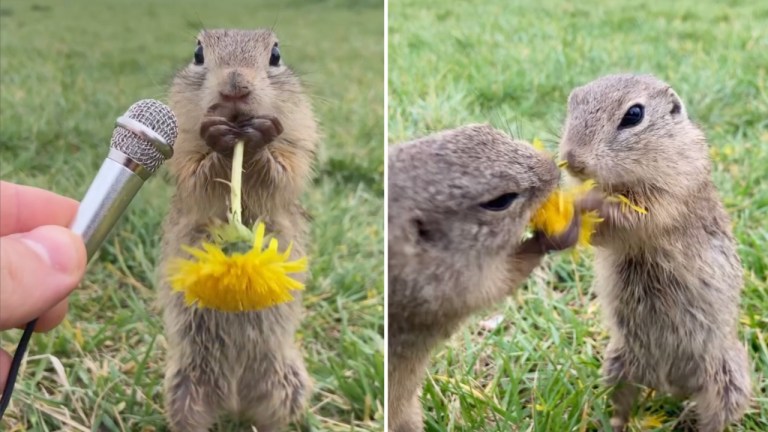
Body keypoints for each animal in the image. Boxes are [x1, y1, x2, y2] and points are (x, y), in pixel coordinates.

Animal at [158, 28, 320, 430]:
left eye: (275, 55)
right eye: (198, 54)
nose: (235, 87)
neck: (238, 145)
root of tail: (233, 399)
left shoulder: (298, 140)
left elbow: (284, 170)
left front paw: (262, 135)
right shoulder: (183, 146)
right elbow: (196, 172)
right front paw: (217, 135)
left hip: (286, 385)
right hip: (184, 388)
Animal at [388, 123, 580, 430]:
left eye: (485, 128)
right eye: (499, 201)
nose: (553, 167)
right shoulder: (448, 285)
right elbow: (502, 280)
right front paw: (558, 234)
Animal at [560, 72, 752, 430]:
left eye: (634, 115)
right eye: (572, 104)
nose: (573, 161)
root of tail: (672, 384)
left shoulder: (669, 197)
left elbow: (635, 218)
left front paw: (584, 201)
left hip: (727, 380)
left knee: (715, 418)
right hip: (619, 365)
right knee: (621, 406)